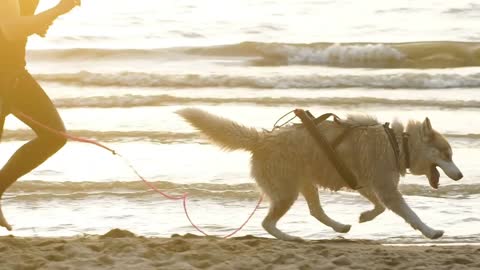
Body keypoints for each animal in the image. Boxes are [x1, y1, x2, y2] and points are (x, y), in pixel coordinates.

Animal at [176, 107, 462, 240]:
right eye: (447, 154)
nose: (460, 176)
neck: (398, 143)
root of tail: (262, 139)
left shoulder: (367, 183)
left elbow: (379, 206)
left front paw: (365, 216)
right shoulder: (386, 189)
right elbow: (411, 215)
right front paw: (431, 232)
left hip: (305, 185)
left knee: (315, 211)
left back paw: (339, 226)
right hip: (286, 192)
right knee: (267, 223)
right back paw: (290, 237)